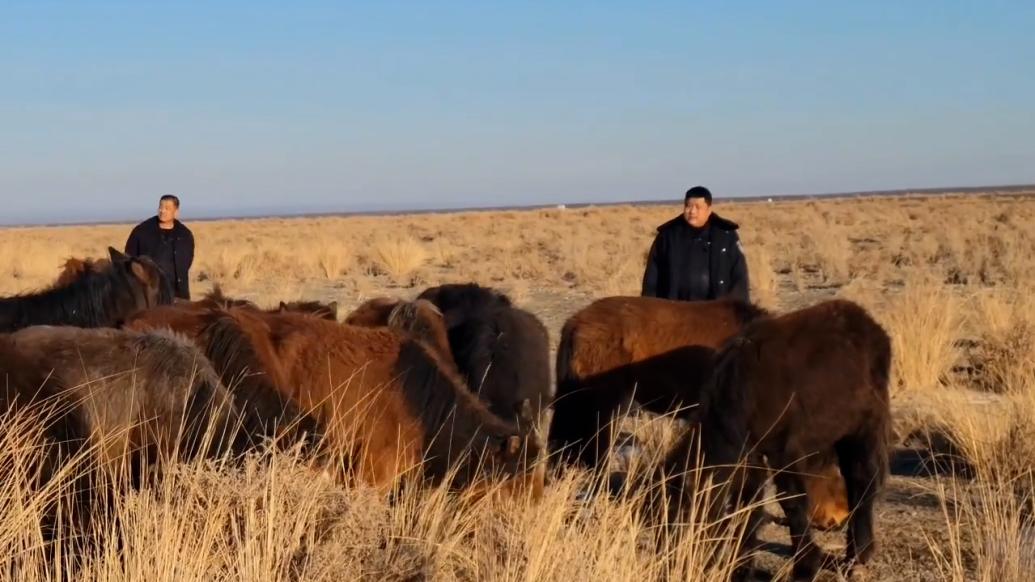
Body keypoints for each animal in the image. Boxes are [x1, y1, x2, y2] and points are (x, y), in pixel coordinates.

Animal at [658, 296, 894, 575]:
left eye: (683, 512)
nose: (674, 561)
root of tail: (868, 324)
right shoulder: (753, 457)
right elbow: (747, 505)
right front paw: (742, 564)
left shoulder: (784, 451)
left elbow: (791, 501)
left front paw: (805, 563)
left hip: (862, 429)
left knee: (862, 481)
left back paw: (858, 554)